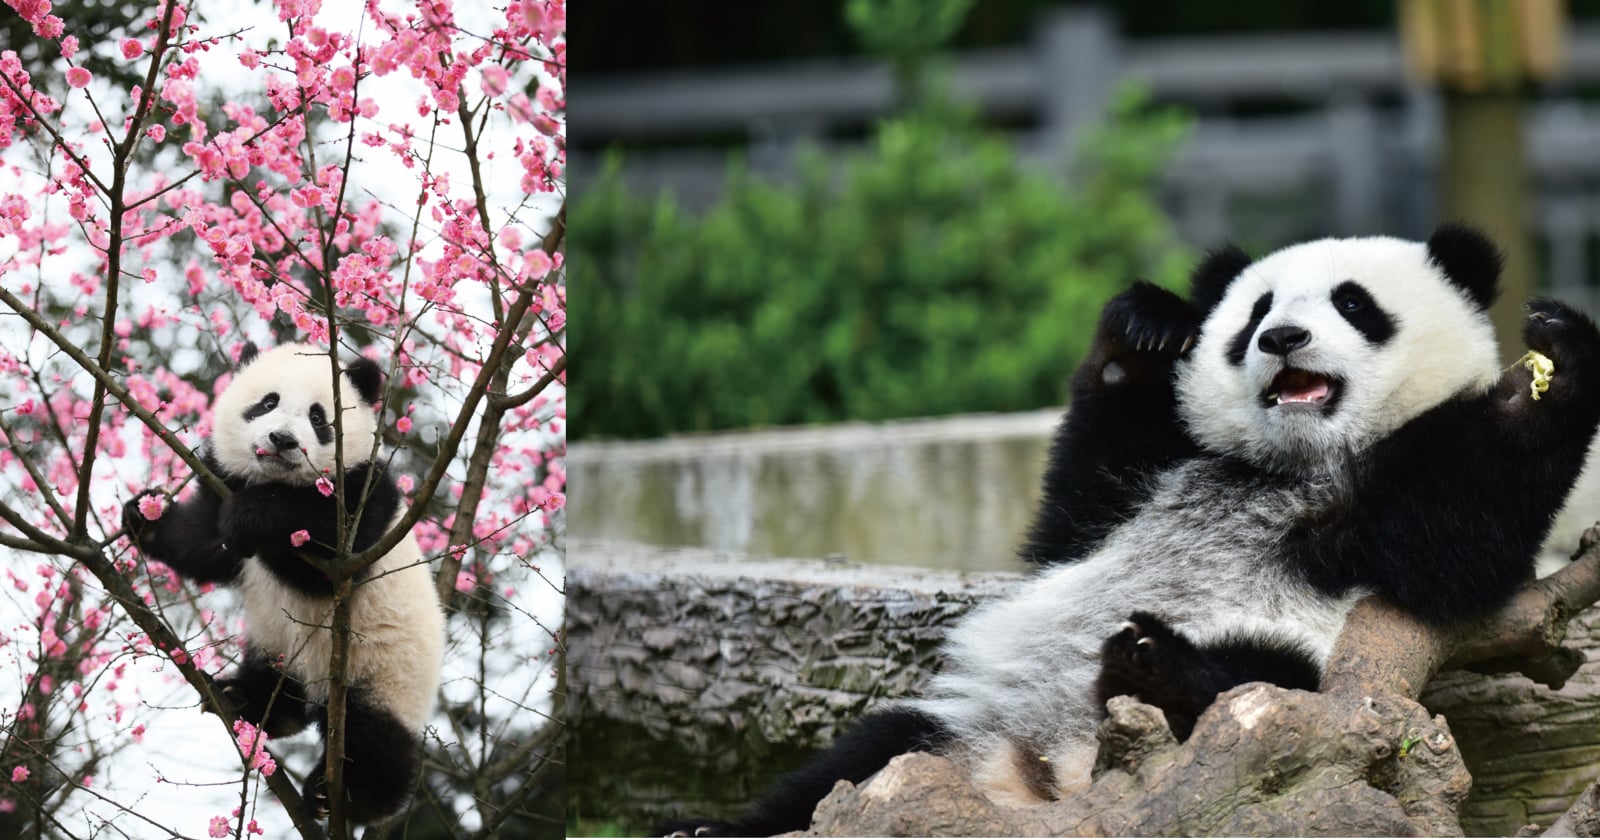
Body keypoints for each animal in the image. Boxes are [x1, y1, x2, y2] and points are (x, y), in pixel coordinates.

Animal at [121, 342, 445, 824]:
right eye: (267, 403)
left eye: (318, 418)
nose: (283, 440)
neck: (275, 479)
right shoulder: (224, 482)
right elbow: (204, 540)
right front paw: (146, 516)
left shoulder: (362, 503)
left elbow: (321, 555)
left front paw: (250, 516)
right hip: (278, 647)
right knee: (276, 682)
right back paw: (245, 699)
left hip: (386, 672)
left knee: (373, 739)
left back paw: (343, 795)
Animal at [661, 224, 1600, 836]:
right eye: (1255, 309)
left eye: (1352, 302)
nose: (1283, 336)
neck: (1292, 466)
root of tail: (1053, 784)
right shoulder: (1143, 485)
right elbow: (1072, 514)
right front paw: (1148, 328)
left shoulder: (1384, 534)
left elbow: (1458, 543)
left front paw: (1553, 369)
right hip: (949, 741)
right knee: (851, 767)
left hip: (1296, 675)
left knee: (1258, 683)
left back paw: (1157, 666)